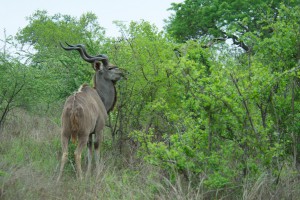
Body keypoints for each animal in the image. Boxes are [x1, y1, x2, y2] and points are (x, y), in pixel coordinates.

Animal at [56, 42, 122, 181]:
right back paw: (80, 179)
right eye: (110, 68)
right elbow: (96, 147)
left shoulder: (90, 134)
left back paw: (58, 179)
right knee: (76, 153)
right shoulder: (98, 129)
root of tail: (73, 107)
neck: (100, 97)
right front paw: (96, 173)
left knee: (65, 153)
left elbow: (90, 148)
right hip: (82, 134)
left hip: (65, 133)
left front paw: (88, 173)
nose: (122, 72)